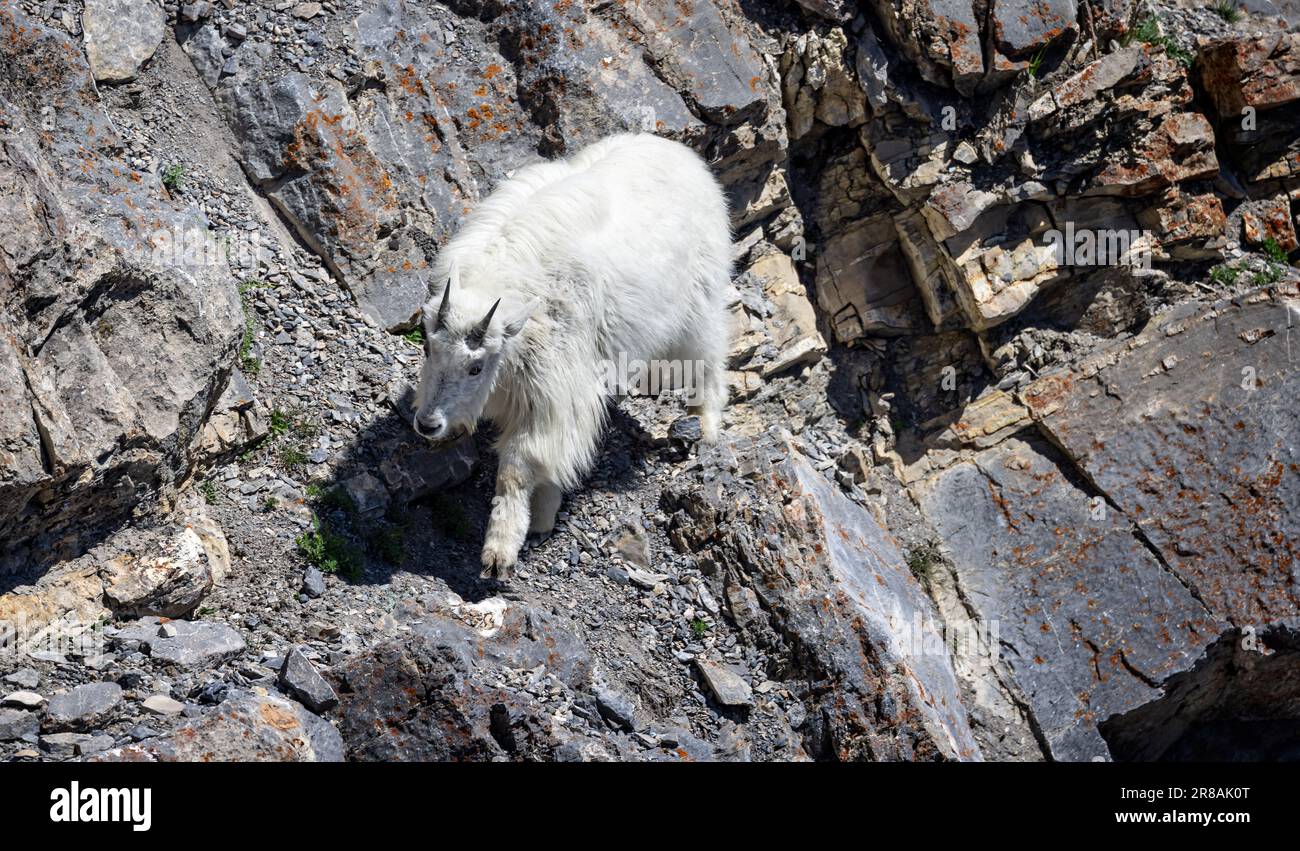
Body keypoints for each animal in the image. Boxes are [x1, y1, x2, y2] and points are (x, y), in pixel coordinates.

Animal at [410, 133, 733, 582]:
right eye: (427, 347)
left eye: (476, 367)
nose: (428, 424)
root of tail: (686, 158)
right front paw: (541, 521)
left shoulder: (558, 389)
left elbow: (521, 465)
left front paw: (502, 551)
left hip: (699, 304)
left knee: (710, 358)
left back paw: (707, 425)